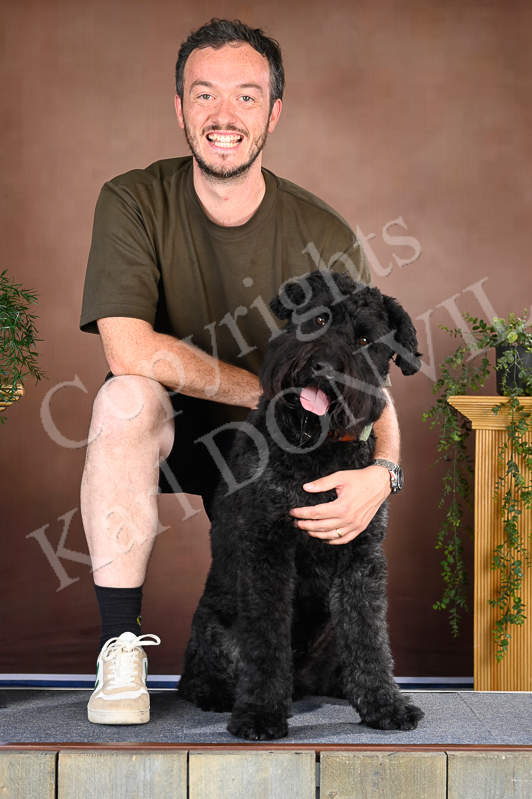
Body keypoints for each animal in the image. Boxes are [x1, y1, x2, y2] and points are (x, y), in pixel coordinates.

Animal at [178, 269, 424, 740]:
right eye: (320, 318)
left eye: (365, 340)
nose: (324, 367)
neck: (317, 448)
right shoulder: (268, 549)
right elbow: (266, 638)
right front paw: (259, 713)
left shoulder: (361, 556)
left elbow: (369, 635)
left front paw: (385, 704)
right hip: (215, 627)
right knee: (198, 672)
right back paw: (215, 692)